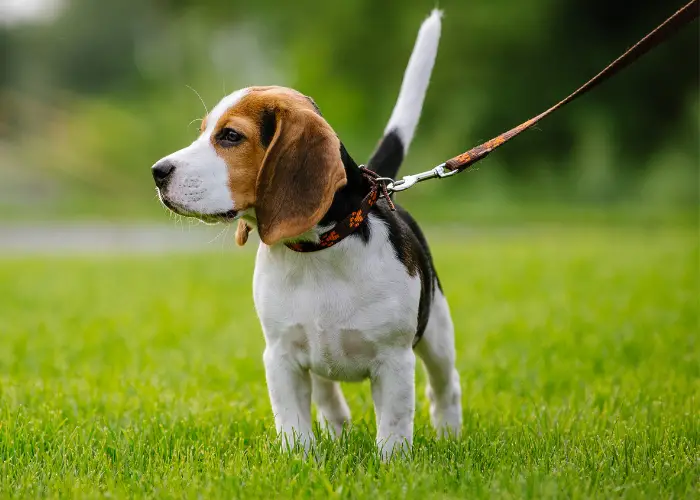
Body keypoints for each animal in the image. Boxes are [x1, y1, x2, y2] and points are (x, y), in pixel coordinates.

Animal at [150, 10, 462, 458]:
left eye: (230, 136)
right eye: (205, 131)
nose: (157, 172)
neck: (317, 252)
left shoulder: (394, 360)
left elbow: (393, 428)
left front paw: (393, 466)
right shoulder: (280, 356)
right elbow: (293, 423)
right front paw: (299, 461)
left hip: (436, 330)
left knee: (444, 387)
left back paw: (449, 434)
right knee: (329, 394)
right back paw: (337, 429)